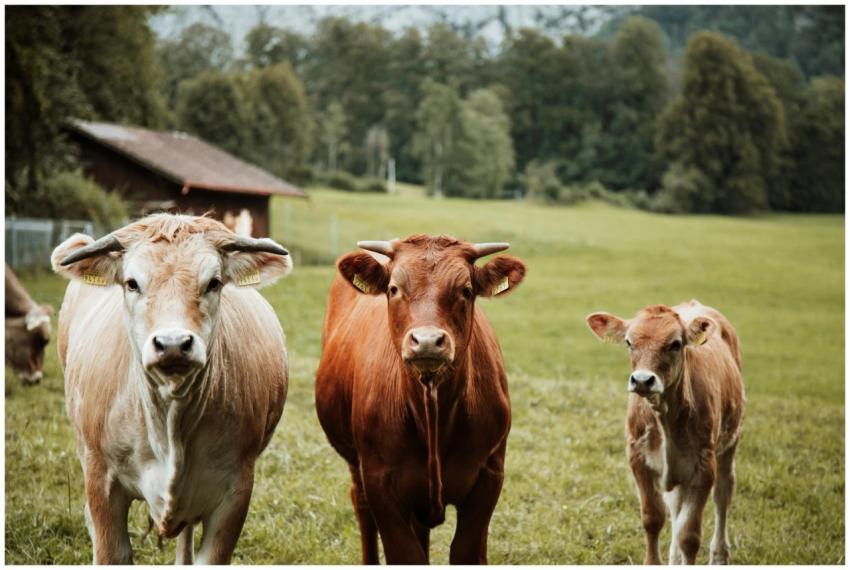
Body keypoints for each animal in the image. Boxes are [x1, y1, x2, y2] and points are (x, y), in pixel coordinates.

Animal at [315, 235, 527, 564]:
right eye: (393, 289)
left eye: (466, 290)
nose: (427, 341)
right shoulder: (379, 482)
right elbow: (405, 553)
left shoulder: (490, 475)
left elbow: (466, 550)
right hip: (355, 463)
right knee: (360, 505)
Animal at [586, 300, 745, 565]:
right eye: (629, 342)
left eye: (675, 344)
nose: (642, 380)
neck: (665, 418)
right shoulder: (638, 459)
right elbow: (653, 518)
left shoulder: (704, 466)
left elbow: (689, 535)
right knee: (675, 507)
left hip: (730, 442)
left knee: (723, 494)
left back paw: (719, 555)